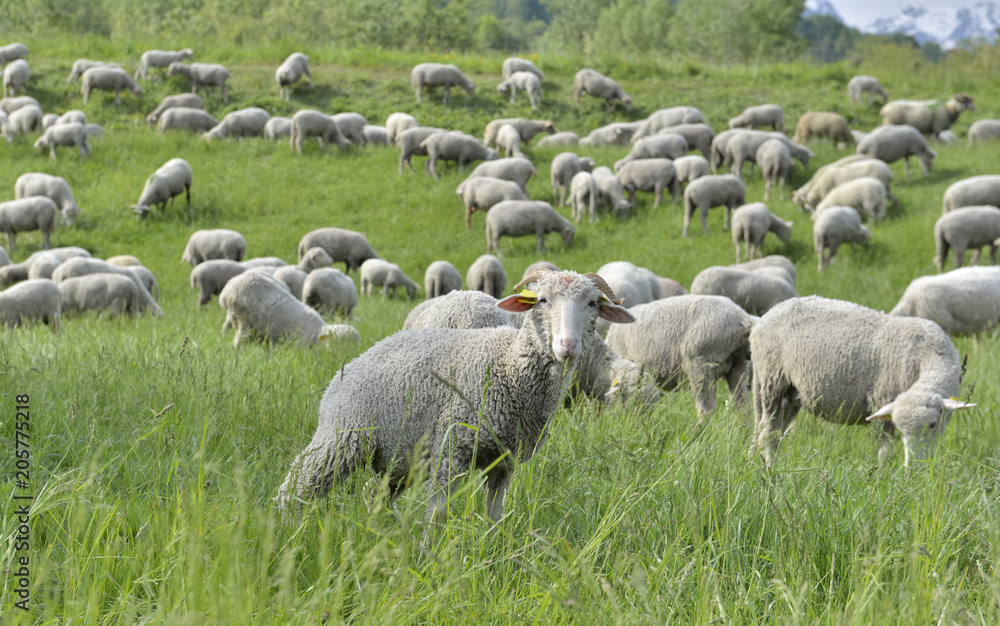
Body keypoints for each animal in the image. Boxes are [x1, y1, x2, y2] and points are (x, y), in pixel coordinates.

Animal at [220, 272, 352, 348]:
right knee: (238, 343)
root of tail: (229, 287)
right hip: (244, 323)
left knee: (226, 326)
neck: (317, 332)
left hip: (235, 317)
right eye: (338, 343)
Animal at [275, 268, 635, 523]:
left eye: (592, 304)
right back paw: (289, 535)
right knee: (294, 488)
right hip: (342, 437)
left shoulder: (504, 461)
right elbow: (438, 514)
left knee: (372, 495)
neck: (509, 367)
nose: (567, 345)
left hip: (397, 457)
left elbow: (494, 517)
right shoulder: (452, 447)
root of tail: (350, 366)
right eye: (543, 300)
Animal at [750, 295, 972, 466]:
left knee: (769, 432)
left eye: (933, 425)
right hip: (772, 381)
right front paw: (882, 477)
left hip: (788, 393)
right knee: (767, 434)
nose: (914, 468)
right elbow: (885, 451)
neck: (929, 351)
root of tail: (766, 316)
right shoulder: (882, 401)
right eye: (902, 430)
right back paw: (770, 469)